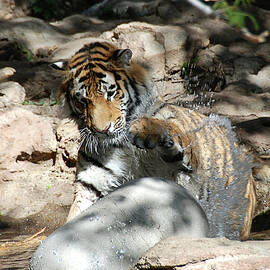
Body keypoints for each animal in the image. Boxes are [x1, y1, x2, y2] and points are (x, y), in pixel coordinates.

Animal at [52, 40, 255, 240]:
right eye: (82, 101)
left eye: (110, 93)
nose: (101, 130)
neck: (124, 144)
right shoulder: (91, 183)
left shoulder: (187, 163)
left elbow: (167, 127)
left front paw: (144, 129)